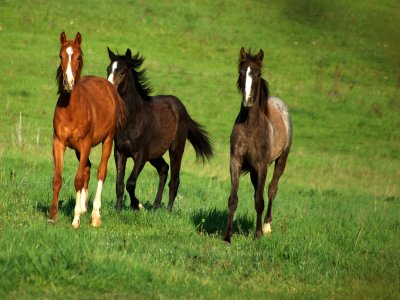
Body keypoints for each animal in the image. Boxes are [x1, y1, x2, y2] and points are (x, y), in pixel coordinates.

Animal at [49, 32, 125, 227]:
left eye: (78, 56)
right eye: (60, 55)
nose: (68, 82)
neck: (72, 109)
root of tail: (109, 86)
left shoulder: (85, 144)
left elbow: (78, 179)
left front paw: (75, 220)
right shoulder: (58, 143)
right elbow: (58, 179)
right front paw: (53, 216)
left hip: (107, 140)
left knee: (100, 171)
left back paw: (94, 216)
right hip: (78, 149)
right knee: (88, 168)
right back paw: (84, 208)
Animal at [105, 47, 212, 211]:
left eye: (122, 72)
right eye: (108, 69)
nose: (109, 91)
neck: (133, 119)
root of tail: (181, 108)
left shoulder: (141, 155)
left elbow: (130, 183)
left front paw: (137, 205)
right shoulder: (120, 153)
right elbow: (119, 184)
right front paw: (118, 209)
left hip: (176, 149)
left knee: (174, 180)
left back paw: (168, 210)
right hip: (155, 155)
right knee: (163, 169)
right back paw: (155, 206)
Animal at [223, 47, 292, 244]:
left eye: (258, 73)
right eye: (241, 72)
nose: (247, 100)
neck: (250, 127)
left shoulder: (262, 166)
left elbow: (260, 201)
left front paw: (259, 234)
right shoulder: (236, 162)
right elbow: (233, 199)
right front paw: (227, 236)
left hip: (280, 161)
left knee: (271, 190)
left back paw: (267, 226)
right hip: (254, 171)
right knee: (257, 192)